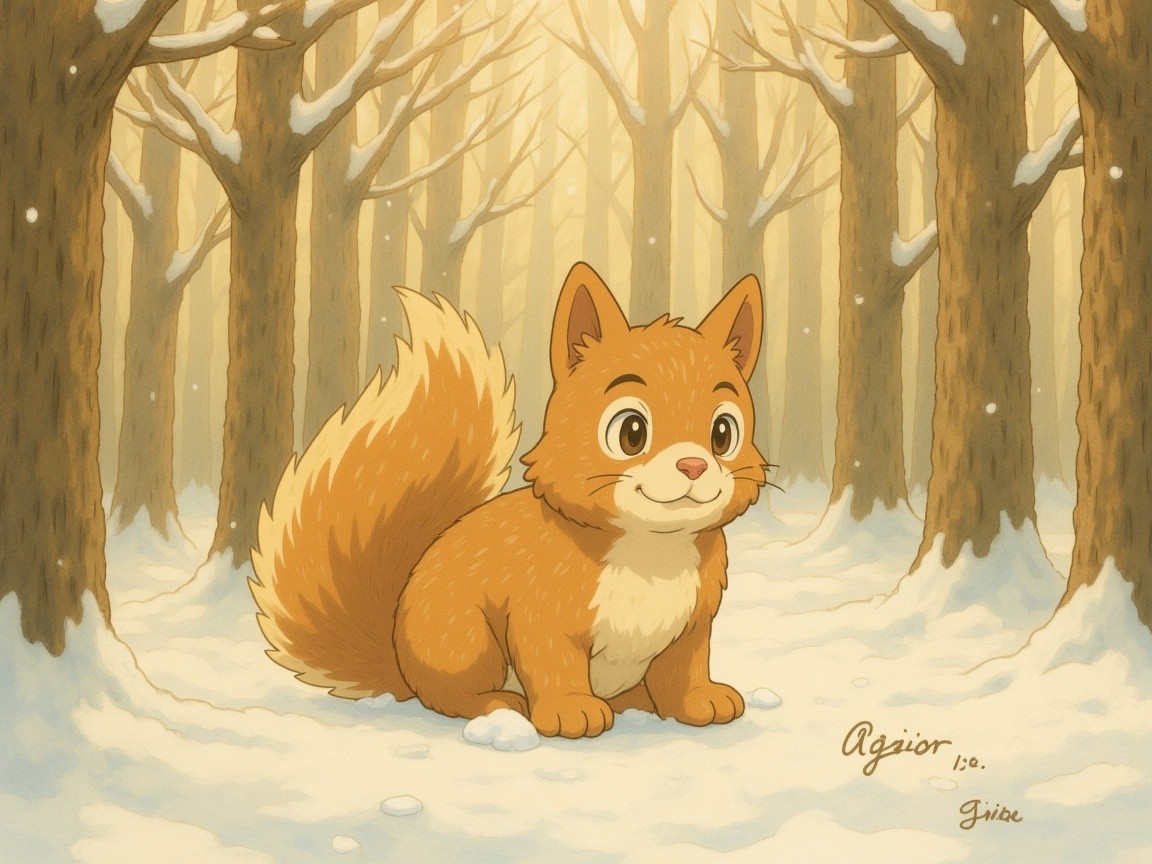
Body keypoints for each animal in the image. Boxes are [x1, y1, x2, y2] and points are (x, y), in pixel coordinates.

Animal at [250, 262, 767, 738]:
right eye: (631, 432)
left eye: (724, 432)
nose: (694, 465)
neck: (653, 549)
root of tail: (401, 664)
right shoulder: (541, 610)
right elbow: (552, 661)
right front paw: (570, 712)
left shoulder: (692, 622)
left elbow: (685, 668)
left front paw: (700, 701)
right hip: (464, 640)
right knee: (449, 695)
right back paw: (500, 706)